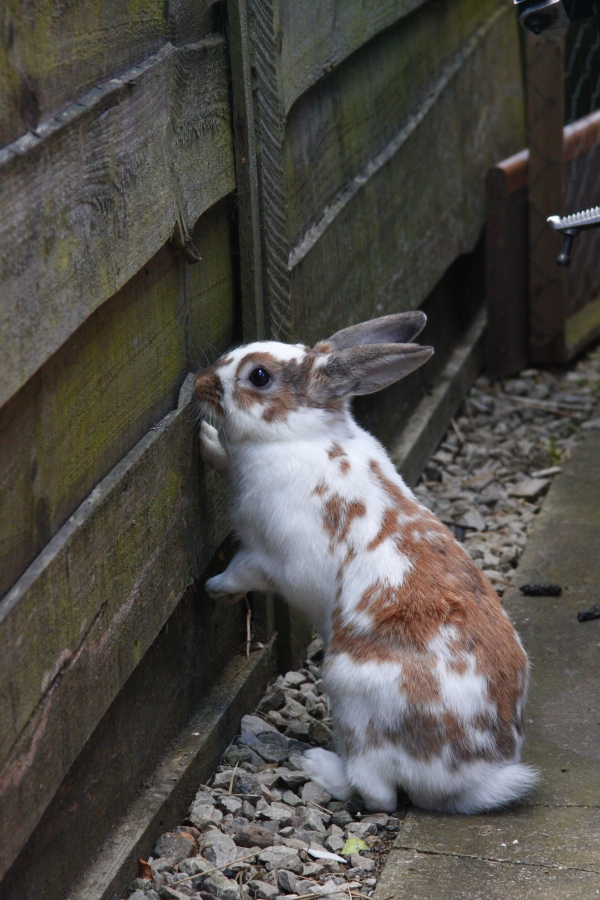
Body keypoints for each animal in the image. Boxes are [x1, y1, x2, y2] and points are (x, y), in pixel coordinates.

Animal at [196, 312, 540, 820]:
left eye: (258, 376)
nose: (200, 382)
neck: (299, 435)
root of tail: (469, 779)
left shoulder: (272, 558)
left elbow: (243, 571)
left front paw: (214, 588)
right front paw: (205, 441)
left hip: (349, 690)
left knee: (378, 793)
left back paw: (316, 764)